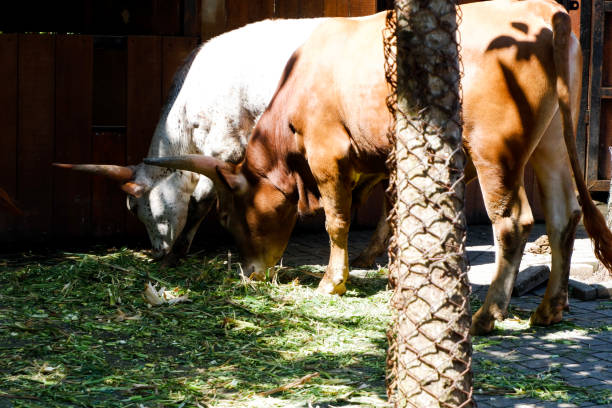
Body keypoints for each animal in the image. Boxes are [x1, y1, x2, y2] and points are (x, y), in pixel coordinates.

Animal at [145, 1, 612, 334]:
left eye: (225, 215)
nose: (250, 275)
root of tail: (545, 11)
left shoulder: (327, 151)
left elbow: (337, 221)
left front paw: (333, 281)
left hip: (496, 149)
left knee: (513, 221)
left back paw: (487, 315)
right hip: (551, 141)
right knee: (563, 215)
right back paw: (549, 309)